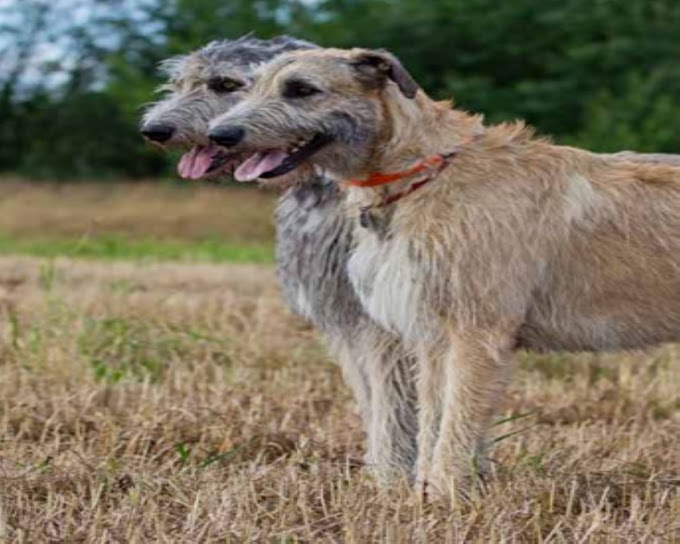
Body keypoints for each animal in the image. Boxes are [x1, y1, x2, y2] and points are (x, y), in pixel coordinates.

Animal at [206, 47, 680, 498]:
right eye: (247, 87)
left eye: (301, 89)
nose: (219, 135)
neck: (425, 170)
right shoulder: (434, 336)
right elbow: (432, 417)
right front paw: (422, 495)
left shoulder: (477, 332)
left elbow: (458, 420)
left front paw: (448, 497)